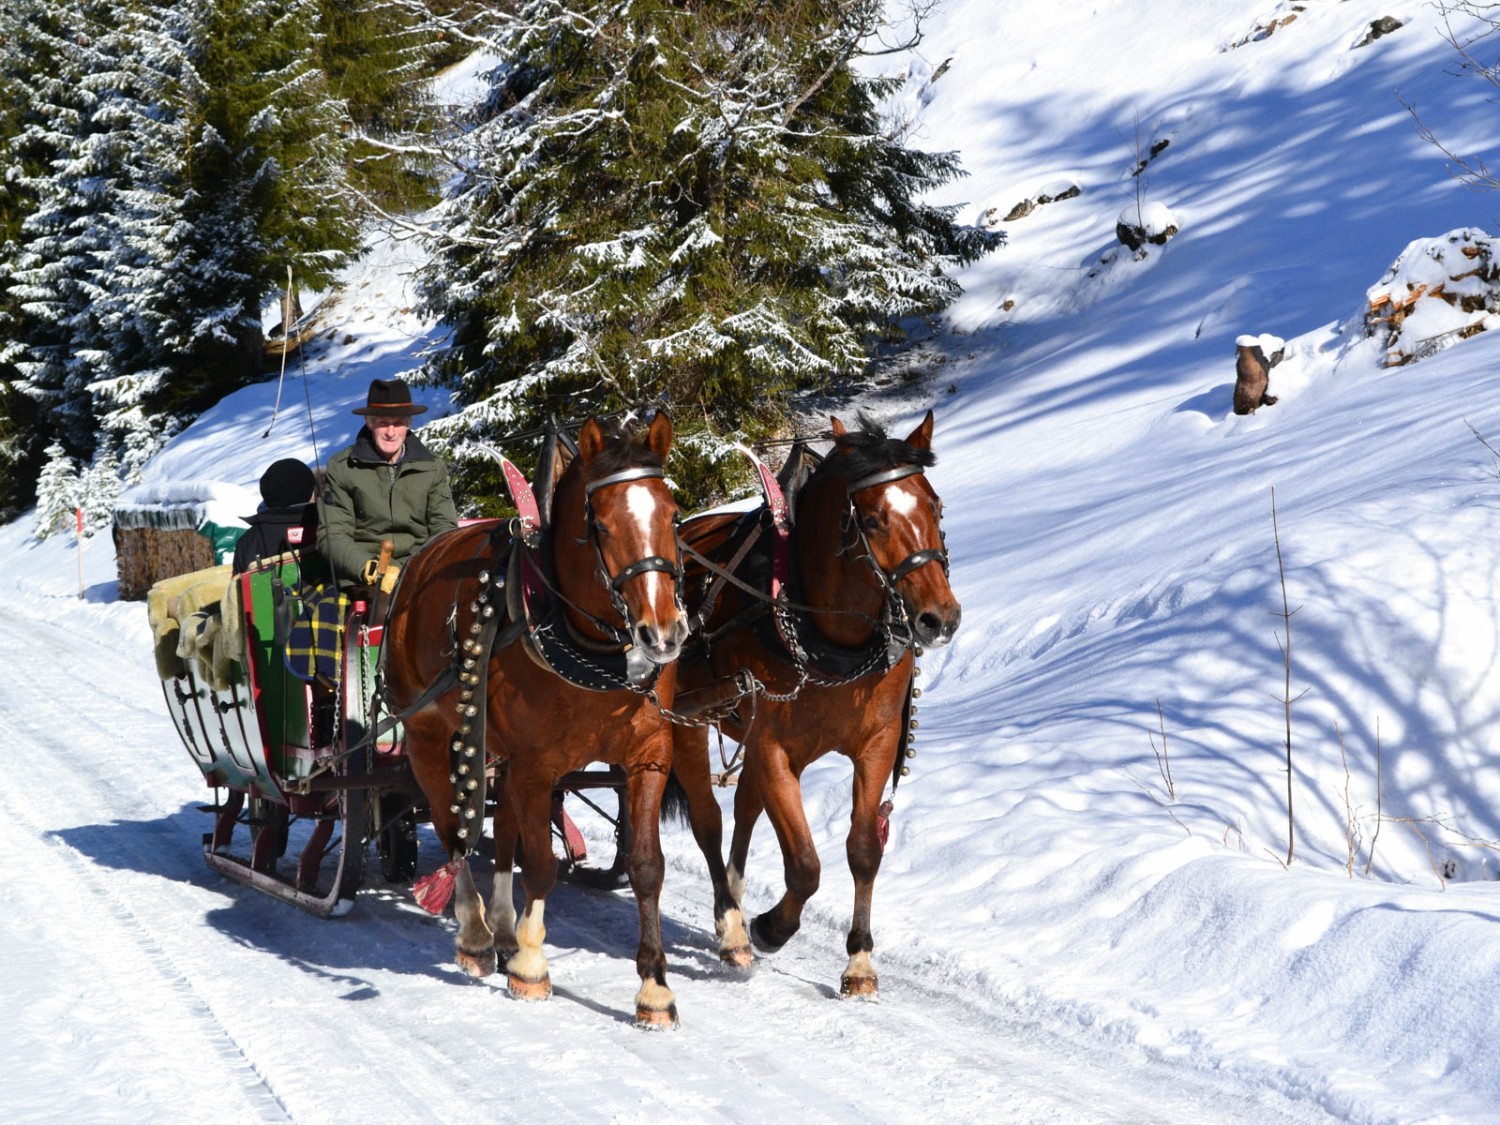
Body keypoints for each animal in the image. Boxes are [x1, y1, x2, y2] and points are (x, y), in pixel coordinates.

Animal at [381, 417, 744, 1032]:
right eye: (599, 524)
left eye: (673, 516)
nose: (662, 634)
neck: (589, 648)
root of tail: (417, 563)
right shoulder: (536, 765)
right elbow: (542, 865)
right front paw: (531, 966)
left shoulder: (647, 757)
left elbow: (646, 866)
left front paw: (655, 989)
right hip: (429, 735)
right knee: (453, 827)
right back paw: (477, 934)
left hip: (492, 746)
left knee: (500, 831)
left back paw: (503, 929)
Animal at [672, 411, 954, 996]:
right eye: (872, 520)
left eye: (935, 505)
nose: (940, 618)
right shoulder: (773, 747)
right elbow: (804, 863)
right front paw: (770, 927)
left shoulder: (875, 743)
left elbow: (864, 849)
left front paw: (861, 960)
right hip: (688, 720)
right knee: (709, 821)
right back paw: (732, 927)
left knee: (745, 807)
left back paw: (734, 898)